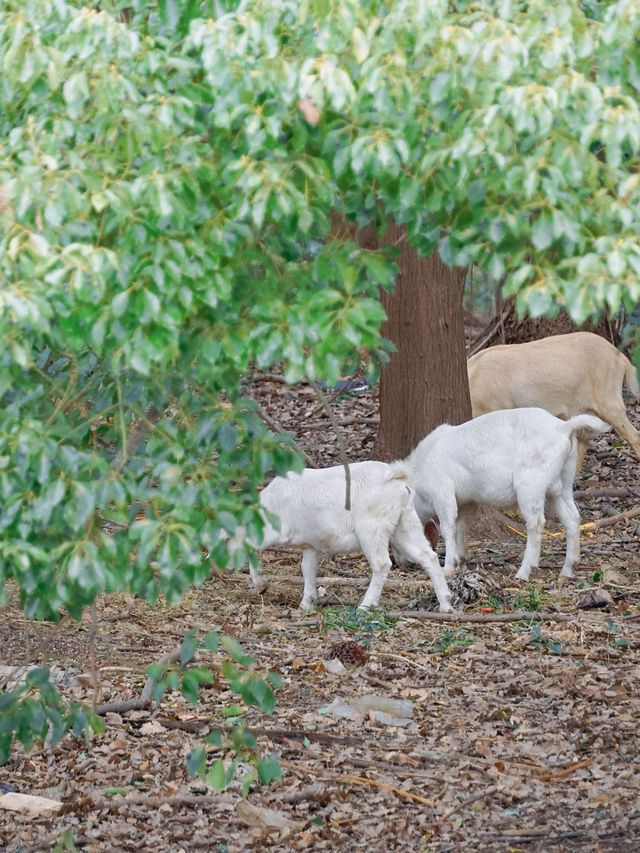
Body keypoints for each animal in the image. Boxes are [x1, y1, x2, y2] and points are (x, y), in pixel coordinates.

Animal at [248, 462, 452, 608]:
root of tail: (395, 478)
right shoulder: (312, 544)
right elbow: (307, 568)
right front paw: (307, 602)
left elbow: (250, 546)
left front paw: (261, 585)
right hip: (406, 524)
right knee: (428, 556)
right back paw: (446, 604)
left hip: (372, 529)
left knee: (382, 564)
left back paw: (365, 606)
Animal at [408, 408, 612, 584]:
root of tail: (564, 427)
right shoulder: (468, 501)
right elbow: (462, 526)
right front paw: (461, 561)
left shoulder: (443, 493)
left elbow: (449, 528)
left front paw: (448, 567)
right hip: (563, 483)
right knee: (572, 518)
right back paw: (568, 569)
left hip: (530, 485)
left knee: (536, 524)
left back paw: (524, 571)